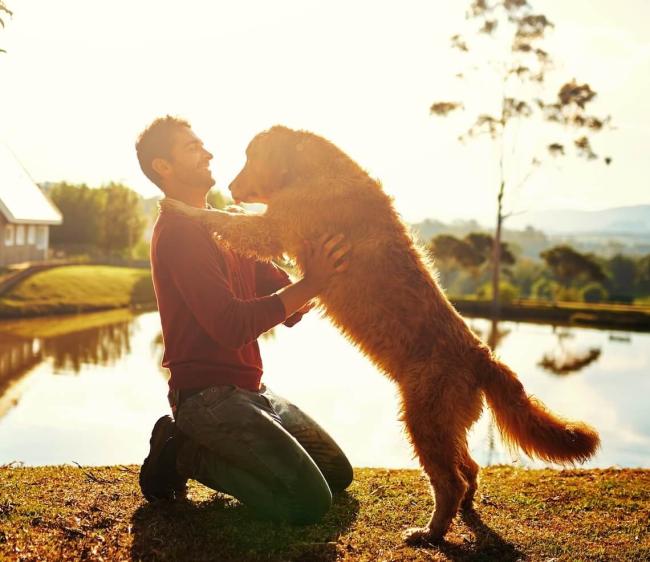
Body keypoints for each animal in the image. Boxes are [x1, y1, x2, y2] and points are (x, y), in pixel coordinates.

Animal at [159, 124, 600, 540]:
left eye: (253, 156)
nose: (231, 185)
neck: (312, 170)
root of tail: (482, 354)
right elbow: (232, 220)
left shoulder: (273, 227)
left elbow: (224, 220)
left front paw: (183, 208)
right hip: (446, 426)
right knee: (471, 468)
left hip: (426, 421)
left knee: (451, 481)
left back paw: (431, 532)